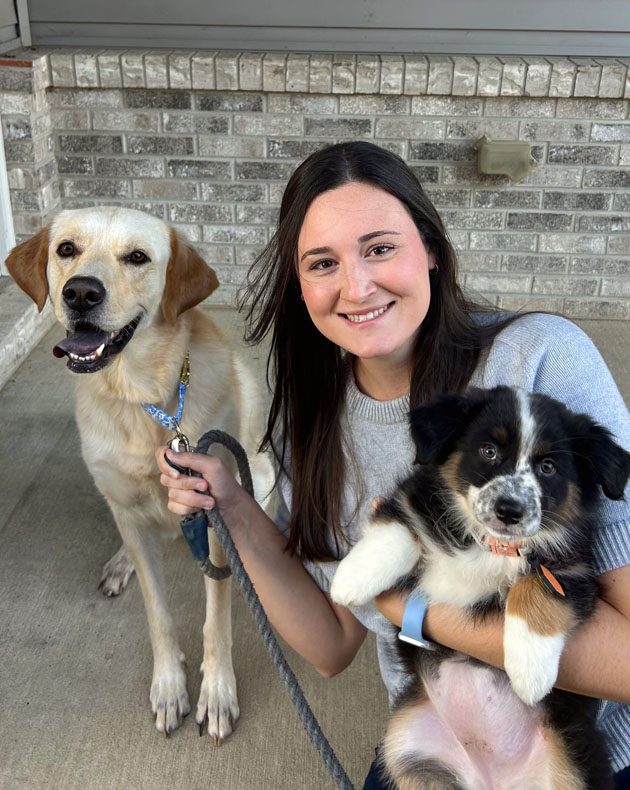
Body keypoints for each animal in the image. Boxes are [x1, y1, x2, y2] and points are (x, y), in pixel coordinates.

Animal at [6, 207, 274, 744]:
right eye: (66, 249)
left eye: (137, 257)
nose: (80, 293)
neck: (140, 398)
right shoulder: (128, 510)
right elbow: (158, 617)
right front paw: (169, 686)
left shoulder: (214, 509)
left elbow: (216, 619)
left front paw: (217, 692)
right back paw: (120, 561)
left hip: (260, 472)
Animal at [330, 388, 630, 790]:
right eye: (488, 450)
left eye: (548, 467)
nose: (509, 510)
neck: (491, 545)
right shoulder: (417, 497)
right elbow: (400, 526)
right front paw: (352, 578)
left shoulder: (576, 571)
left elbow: (533, 586)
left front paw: (530, 671)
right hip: (406, 747)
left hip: (575, 760)